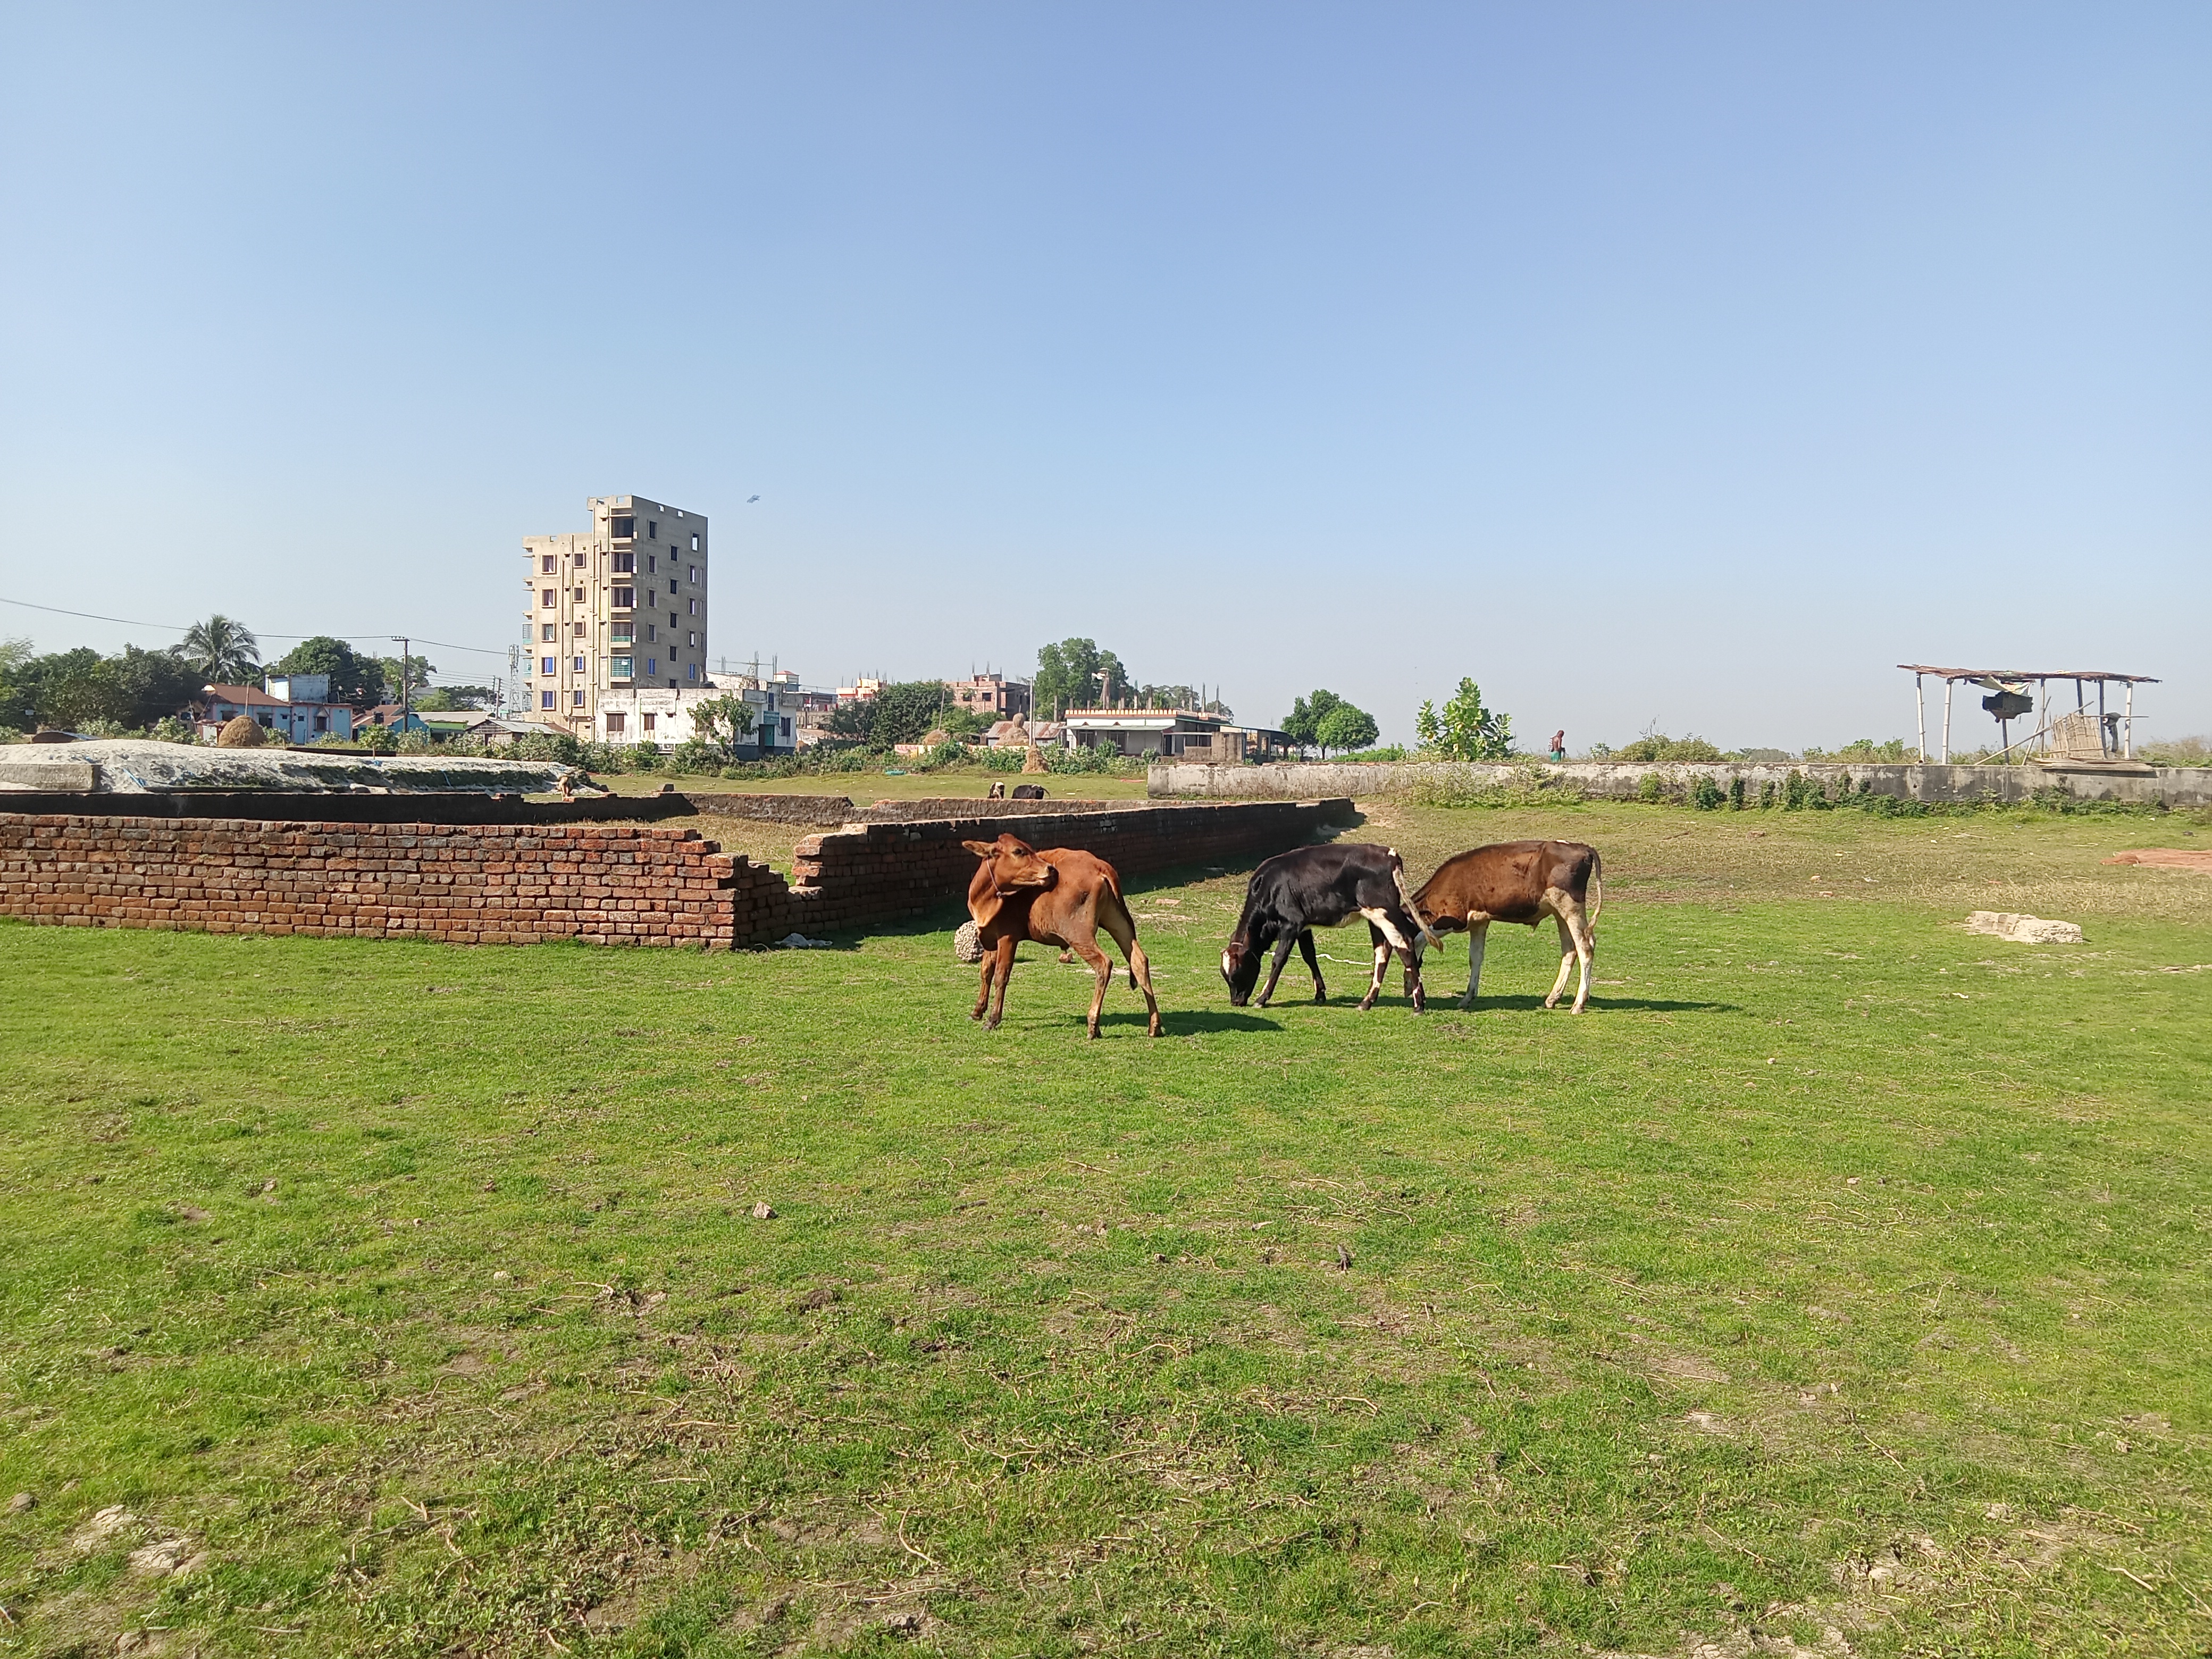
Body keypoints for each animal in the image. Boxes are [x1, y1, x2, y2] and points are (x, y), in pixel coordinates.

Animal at [964, 834, 1162, 1038]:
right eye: (1018, 851)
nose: (1050, 869)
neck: (985, 898)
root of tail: (1099, 865)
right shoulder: (992, 936)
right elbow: (986, 971)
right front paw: (977, 1011)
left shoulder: (1008, 937)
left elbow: (1001, 976)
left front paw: (993, 1019)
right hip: (1117, 920)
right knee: (1139, 960)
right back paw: (1154, 1025)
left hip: (1078, 933)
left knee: (1104, 964)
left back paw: (1093, 1024)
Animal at [1220, 843, 1440, 1012]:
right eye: (1225, 976)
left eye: (1238, 973)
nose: (1236, 1002)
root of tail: (1388, 853)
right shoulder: (1304, 926)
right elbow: (1309, 955)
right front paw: (1320, 994)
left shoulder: (1291, 924)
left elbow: (1279, 959)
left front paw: (1263, 998)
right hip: (1375, 917)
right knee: (1382, 952)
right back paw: (1367, 1002)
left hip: (1383, 912)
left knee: (1404, 946)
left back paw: (1418, 1005)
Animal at [1406, 840, 1604, 1013]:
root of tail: (1581, 847)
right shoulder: (1479, 922)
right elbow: (1475, 957)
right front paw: (1467, 998)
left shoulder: (1454, 919)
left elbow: (1418, 940)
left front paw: (1410, 985)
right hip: (1559, 911)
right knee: (1570, 949)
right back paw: (1552, 999)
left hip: (1570, 906)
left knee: (1585, 947)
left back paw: (1578, 1005)